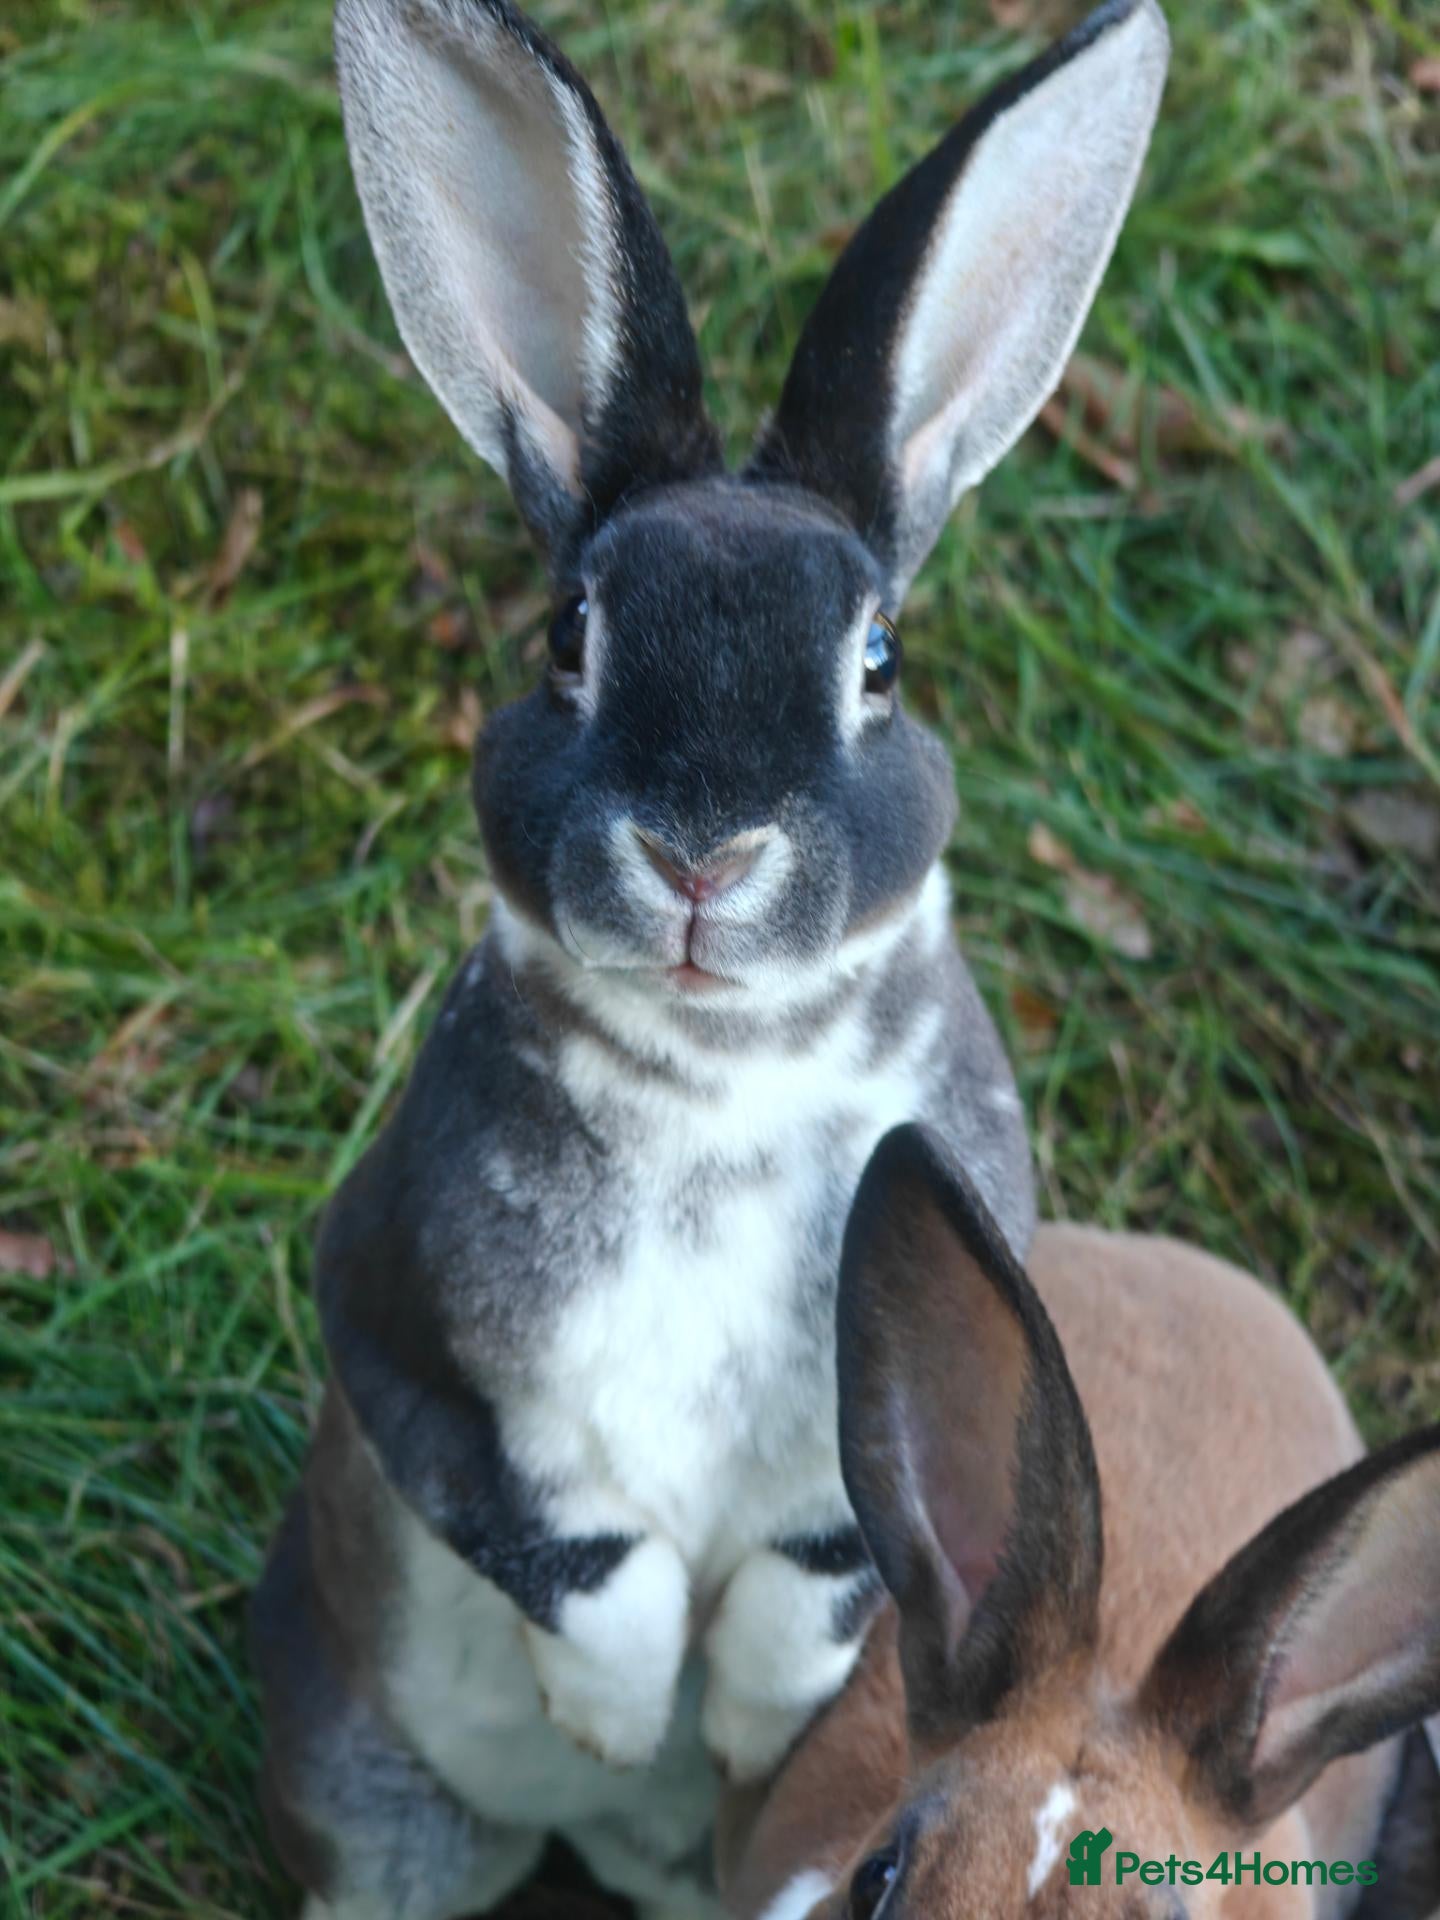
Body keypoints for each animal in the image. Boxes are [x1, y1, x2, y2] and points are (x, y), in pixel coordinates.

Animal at [249, 1, 1171, 1916]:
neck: (720, 1074)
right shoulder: (398, 1316)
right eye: (567, 636)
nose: (700, 854)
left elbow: (808, 1576)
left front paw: (738, 1727)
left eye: (878, 662)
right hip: (379, 1790)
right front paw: (618, 1714)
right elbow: (574, 1547)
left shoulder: (866, 1420)